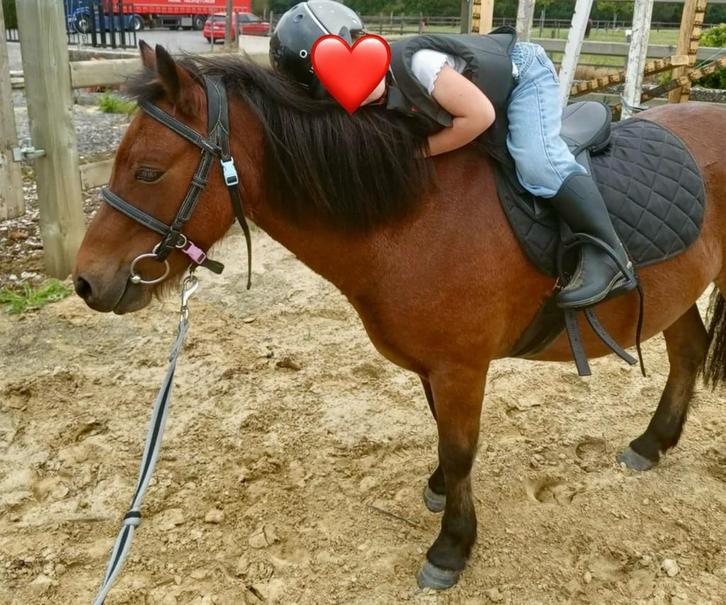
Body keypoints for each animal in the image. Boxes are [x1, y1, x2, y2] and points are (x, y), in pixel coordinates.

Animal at [72, 43, 726, 590]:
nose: (85, 281)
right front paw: (439, 492)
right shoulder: (434, 368)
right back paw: (653, 442)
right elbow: (443, 438)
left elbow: (460, 449)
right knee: (688, 351)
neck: (412, 216)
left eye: (148, 171)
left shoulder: (461, 367)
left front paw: (452, 548)